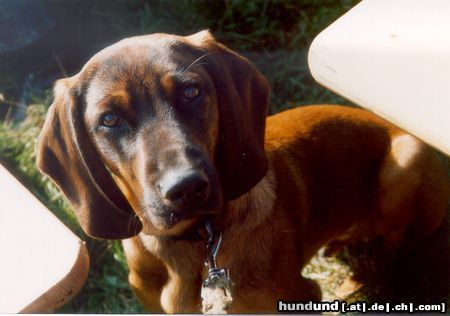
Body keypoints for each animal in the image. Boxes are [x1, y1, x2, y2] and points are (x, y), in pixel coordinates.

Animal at [36, 30, 450, 312]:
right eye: (109, 119)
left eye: (191, 92)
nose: (186, 188)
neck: (197, 243)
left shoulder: (301, 296)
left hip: (406, 159)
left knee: (394, 243)